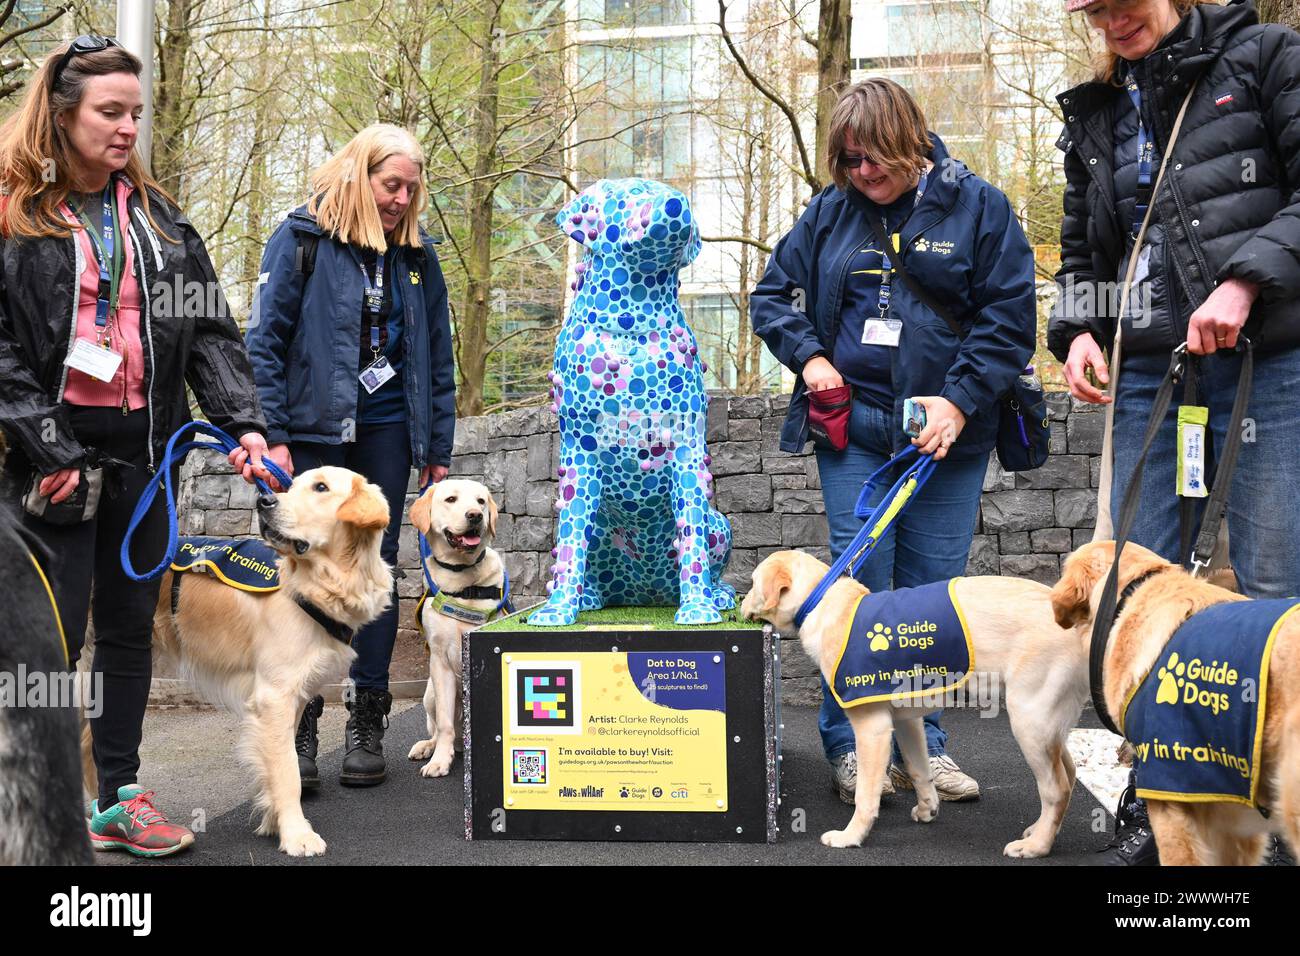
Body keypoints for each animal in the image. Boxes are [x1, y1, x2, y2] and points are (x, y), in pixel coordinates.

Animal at [148, 468, 387, 858]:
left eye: (321, 487)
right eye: (292, 485)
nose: (263, 501)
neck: (321, 583)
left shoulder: (294, 697)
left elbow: (283, 761)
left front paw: (274, 820)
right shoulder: (274, 696)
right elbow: (288, 771)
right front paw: (297, 834)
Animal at [408, 478, 504, 780]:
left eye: (481, 501)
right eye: (451, 499)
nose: (475, 515)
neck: (463, 583)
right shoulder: (439, 661)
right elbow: (445, 724)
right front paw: (440, 761)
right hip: (429, 694)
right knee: (439, 727)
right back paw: (428, 747)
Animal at [743, 548, 1086, 858]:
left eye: (752, 582)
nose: (739, 601)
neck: (822, 601)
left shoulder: (872, 728)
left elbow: (866, 795)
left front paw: (851, 836)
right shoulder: (907, 721)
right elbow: (919, 769)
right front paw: (927, 809)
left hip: (1029, 721)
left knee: (1056, 787)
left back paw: (1037, 846)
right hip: (1048, 725)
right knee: (1069, 775)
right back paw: (1040, 830)